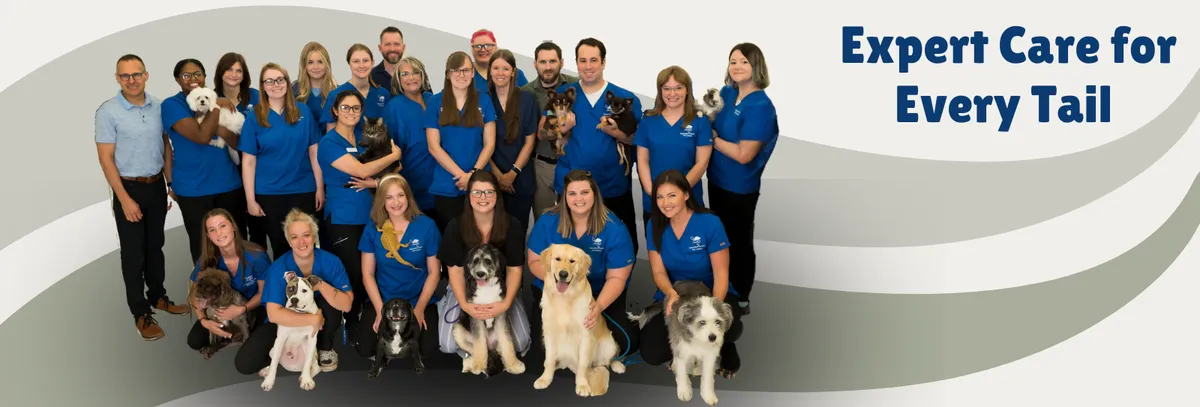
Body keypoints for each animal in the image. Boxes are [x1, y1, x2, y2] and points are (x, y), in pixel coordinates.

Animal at [452, 244, 525, 377]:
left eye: (488, 261)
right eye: (475, 261)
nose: (480, 273)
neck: (486, 288)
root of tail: (491, 346)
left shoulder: (501, 316)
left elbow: (507, 343)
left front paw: (513, 365)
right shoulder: (476, 317)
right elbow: (480, 344)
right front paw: (479, 366)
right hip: (458, 329)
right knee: (475, 350)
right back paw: (471, 364)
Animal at [533, 243, 625, 397]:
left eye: (572, 261)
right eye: (557, 259)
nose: (563, 274)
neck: (565, 297)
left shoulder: (585, 336)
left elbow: (582, 364)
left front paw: (582, 385)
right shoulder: (550, 334)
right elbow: (549, 360)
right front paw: (545, 378)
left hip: (608, 344)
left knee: (607, 360)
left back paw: (617, 364)